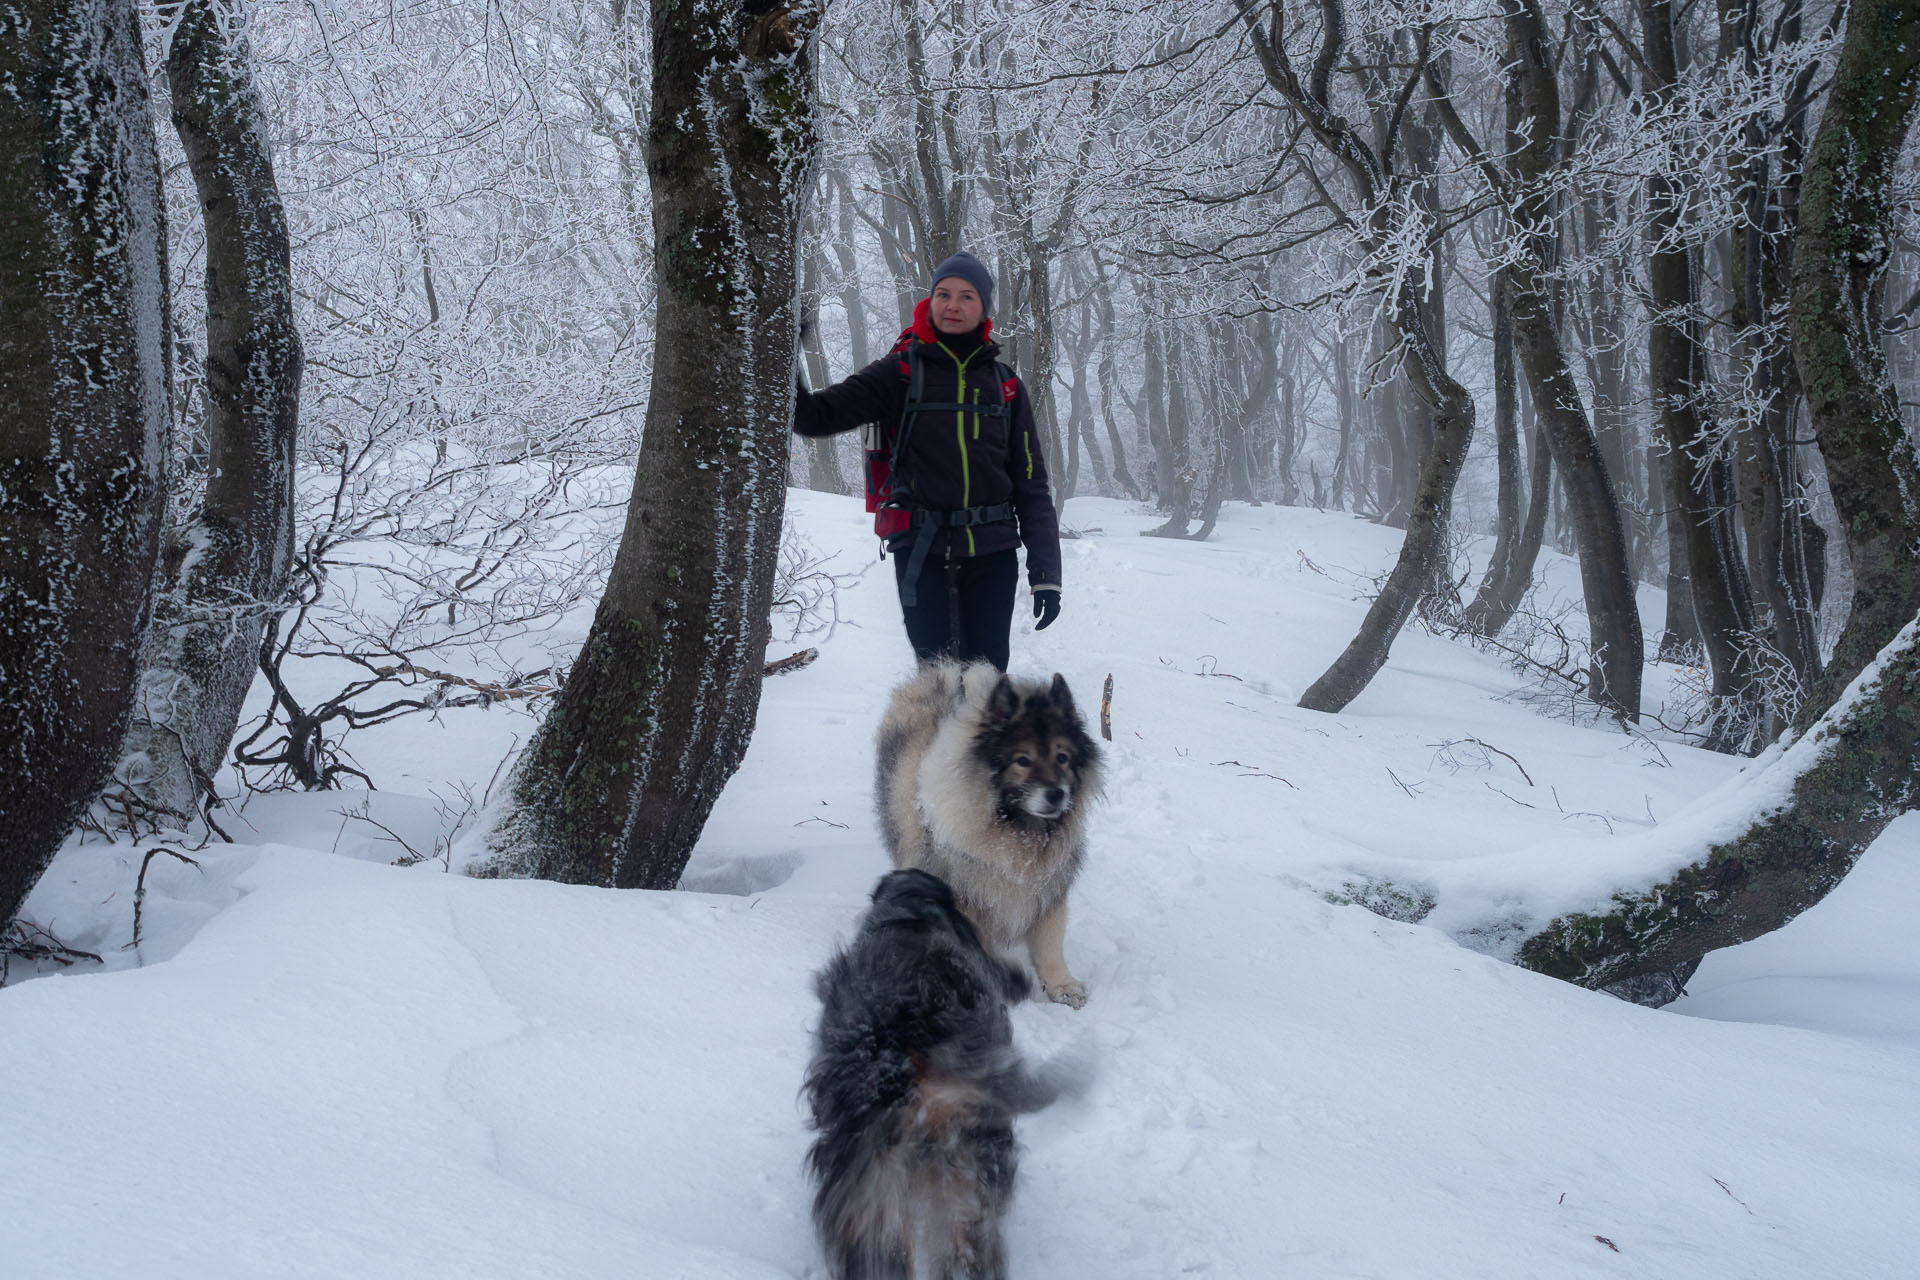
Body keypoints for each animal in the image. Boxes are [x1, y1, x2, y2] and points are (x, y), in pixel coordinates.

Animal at [875, 660, 1105, 1013]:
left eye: (1062, 757)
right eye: (1023, 760)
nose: (1057, 795)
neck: (1018, 833)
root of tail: (942, 677)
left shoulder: (1046, 890)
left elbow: (1050, 943)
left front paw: (1062, 986)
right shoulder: (969, 897)